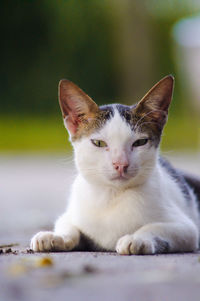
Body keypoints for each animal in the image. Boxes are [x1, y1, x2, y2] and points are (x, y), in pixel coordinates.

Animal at [30, 75, 200, 253]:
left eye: (140, 142)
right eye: (98, 143)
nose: (121, 164)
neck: (112, 196)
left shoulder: (187, 229)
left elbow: (155, 227)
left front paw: (137, 238)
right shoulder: (70, 214)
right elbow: (68, 225)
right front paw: (55, 236)